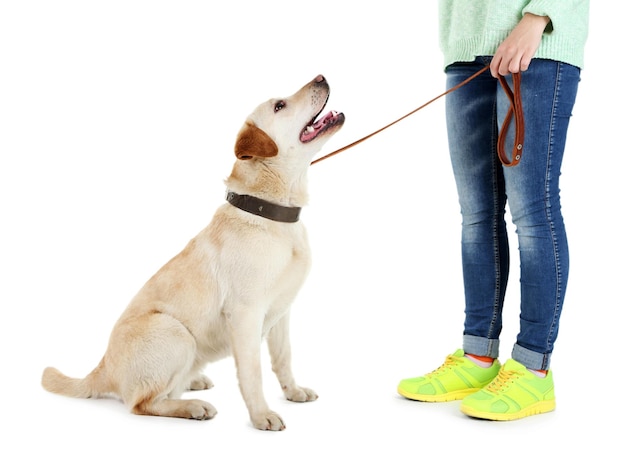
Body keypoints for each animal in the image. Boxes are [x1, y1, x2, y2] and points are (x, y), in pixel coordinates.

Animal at [41, 74, 344, 432]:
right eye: (279, 106)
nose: (321, 77)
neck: (271, 213)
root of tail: (102, 369)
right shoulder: (246, 314)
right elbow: (252, 373)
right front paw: (261, 415)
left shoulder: (282, 313)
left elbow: (283, 359)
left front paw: (293, 392)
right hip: (174, 331)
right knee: (141, 403)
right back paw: (191, 406)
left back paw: (193, 382)